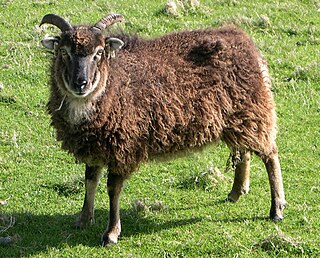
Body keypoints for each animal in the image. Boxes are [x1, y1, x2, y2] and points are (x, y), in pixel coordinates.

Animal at [38, 13, 286, 247]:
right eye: (64, 53)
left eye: (99, 53)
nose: (81, 83)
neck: (111, 84)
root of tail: (243, 40)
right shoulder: (94, 143)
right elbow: (90, 180)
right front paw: (84, 218)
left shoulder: (122, 146)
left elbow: (112, 189)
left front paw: (111, 233)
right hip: (238, 118)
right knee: (243, 151)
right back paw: (236, 192)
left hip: (255, 110)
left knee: (270, 154)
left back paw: (277, 208)